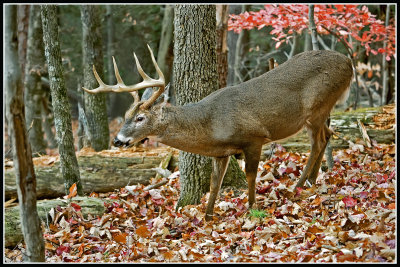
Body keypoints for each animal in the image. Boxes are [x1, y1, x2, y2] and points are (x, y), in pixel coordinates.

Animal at [82, 45, 354, 222]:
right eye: (126, 115)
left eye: (140, 118)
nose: (118, 140)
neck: (211, 125)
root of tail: (349, 63)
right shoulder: (221, 153)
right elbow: (214, 183)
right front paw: (208, 215)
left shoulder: (254, 138)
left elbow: (251, 175)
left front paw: (251, 208)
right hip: (318, 113)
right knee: (328, 134)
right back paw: (311, 180)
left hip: (318, 106)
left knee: (319, 140)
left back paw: (298, 184)